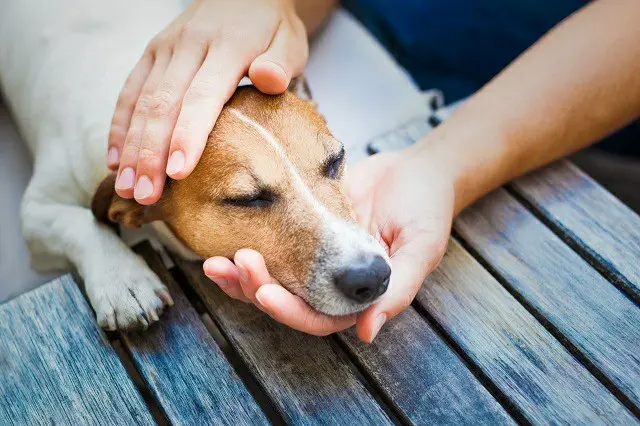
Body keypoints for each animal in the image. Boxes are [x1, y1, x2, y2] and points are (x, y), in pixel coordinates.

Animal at [0, 0, 390, 332]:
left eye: (336, 160)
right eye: (246, 199)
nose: (371, 276)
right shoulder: (37, 211)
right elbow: (80, 224)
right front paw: (123, 280)